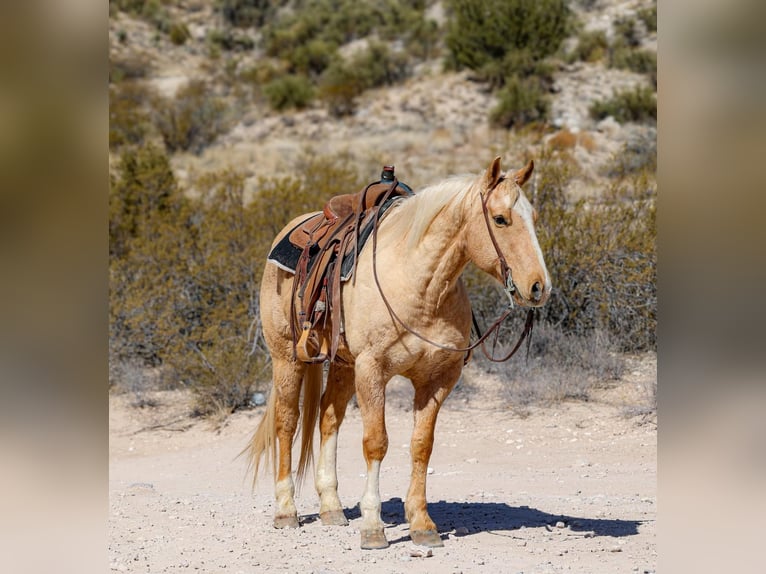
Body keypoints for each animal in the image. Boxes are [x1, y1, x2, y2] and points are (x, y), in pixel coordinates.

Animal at [245, 156, 551, 549]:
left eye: (534, 216)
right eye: (500, 219)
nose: (539, 287)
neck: (419, 285)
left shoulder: (438, 379)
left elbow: (422, 446)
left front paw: (421, 523)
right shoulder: (373, 370)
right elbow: (376, 443)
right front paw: (373, 527)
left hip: (342, 365)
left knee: (328, 419)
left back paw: (331, 507)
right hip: (287, 357)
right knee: (287, 421)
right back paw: (286, 510)